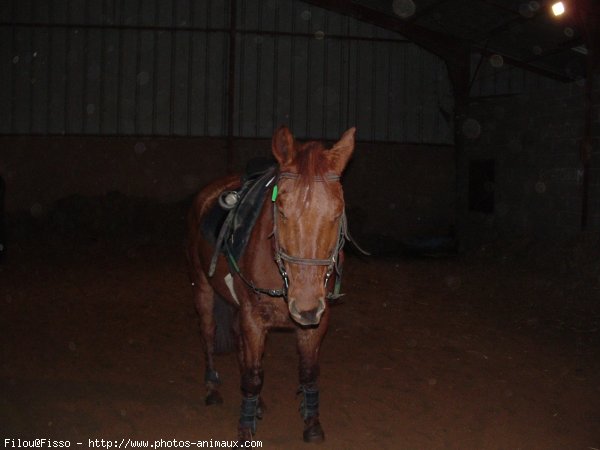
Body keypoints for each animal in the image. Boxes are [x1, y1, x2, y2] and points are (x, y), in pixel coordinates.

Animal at [188, 125, 356, 442]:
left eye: (337, 212)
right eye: (283, 211)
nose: (304, 307)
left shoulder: (317, 320)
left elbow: (308, 372)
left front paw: (311, 423)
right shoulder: (254, 318)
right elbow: (254, 376)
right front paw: (245, 429)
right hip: (203, 286)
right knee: (208, 333)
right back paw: (212, 388)